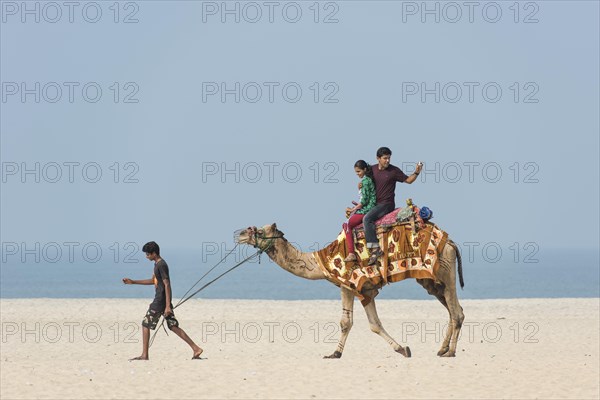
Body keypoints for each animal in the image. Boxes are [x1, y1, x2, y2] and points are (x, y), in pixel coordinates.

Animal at [234, 223, 464, 358]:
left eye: (259, 231)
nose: (240, 234)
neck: (320, 261)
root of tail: (451, 242)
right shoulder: (366, 291)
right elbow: (374, 324)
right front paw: (402, 349)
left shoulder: (347, 284)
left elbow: (346, 322)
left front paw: (334, 353)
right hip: (431, 281)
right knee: (453, 310)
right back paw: (442, 349)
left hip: (445, 270)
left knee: (456, 312)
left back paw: (451, 352)